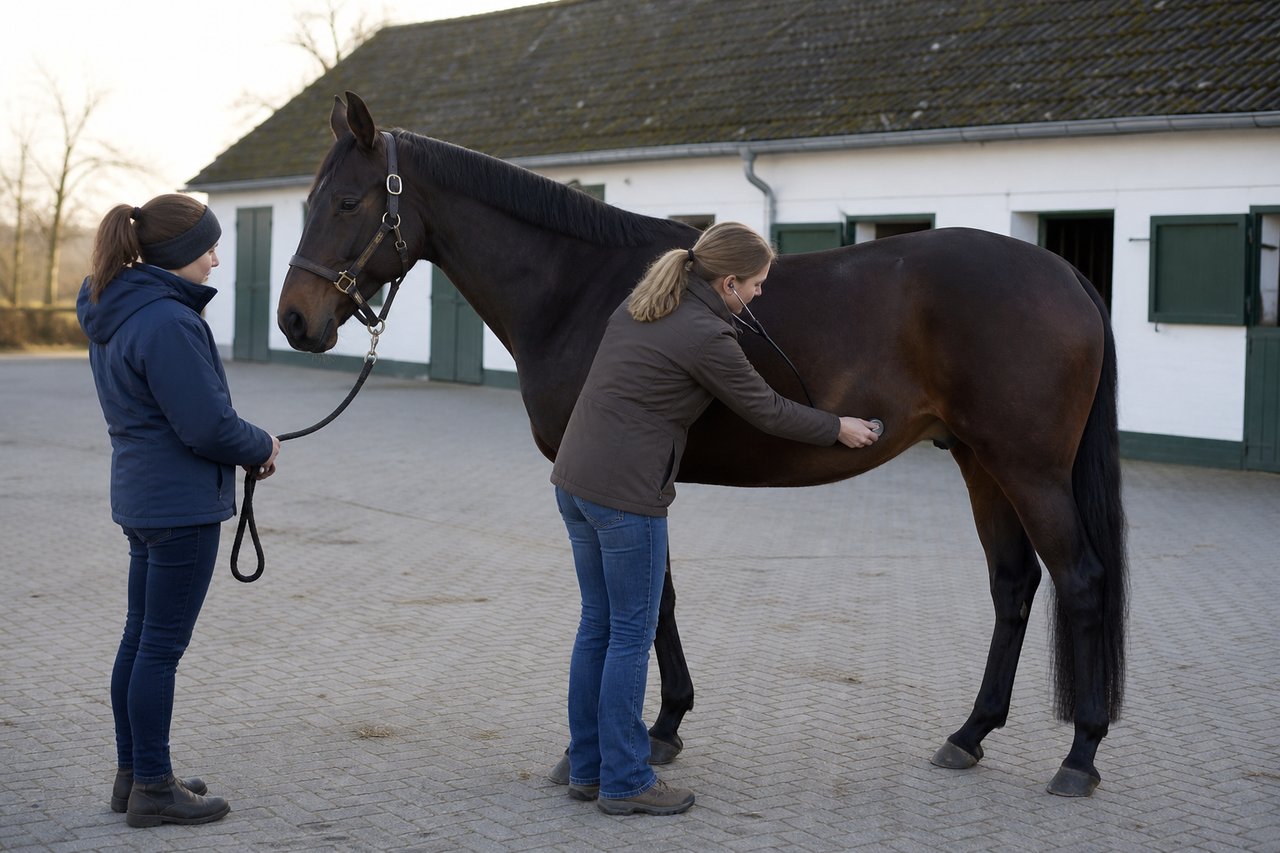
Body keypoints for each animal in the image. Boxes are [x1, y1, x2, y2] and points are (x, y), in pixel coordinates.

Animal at [277, 92, 1127, 798]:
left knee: (1081, 579)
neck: (584, 287)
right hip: (981, 462)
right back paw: (969, 734)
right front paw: (666, 724)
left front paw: (654, 731)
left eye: (348, 201)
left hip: (1028, 468)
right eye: (308, 202)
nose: (295, 319)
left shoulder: (633, 475)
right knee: (1014, 584)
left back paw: (1080, 755)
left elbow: (649, 597)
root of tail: (1067, 276)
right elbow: (659, 596)